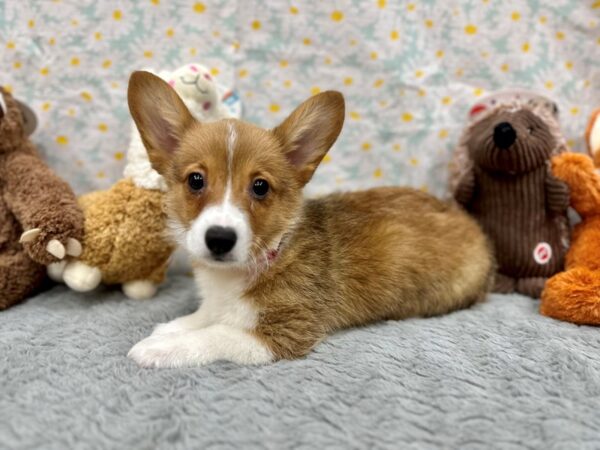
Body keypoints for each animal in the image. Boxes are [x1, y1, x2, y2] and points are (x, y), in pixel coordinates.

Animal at [125, 69, 492, 366]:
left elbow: (217, 334)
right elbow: (205, 315)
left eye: (260, 187)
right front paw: (171, 328)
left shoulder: (287, 330)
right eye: (195, 180)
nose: (219, 239)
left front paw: (160, 348)